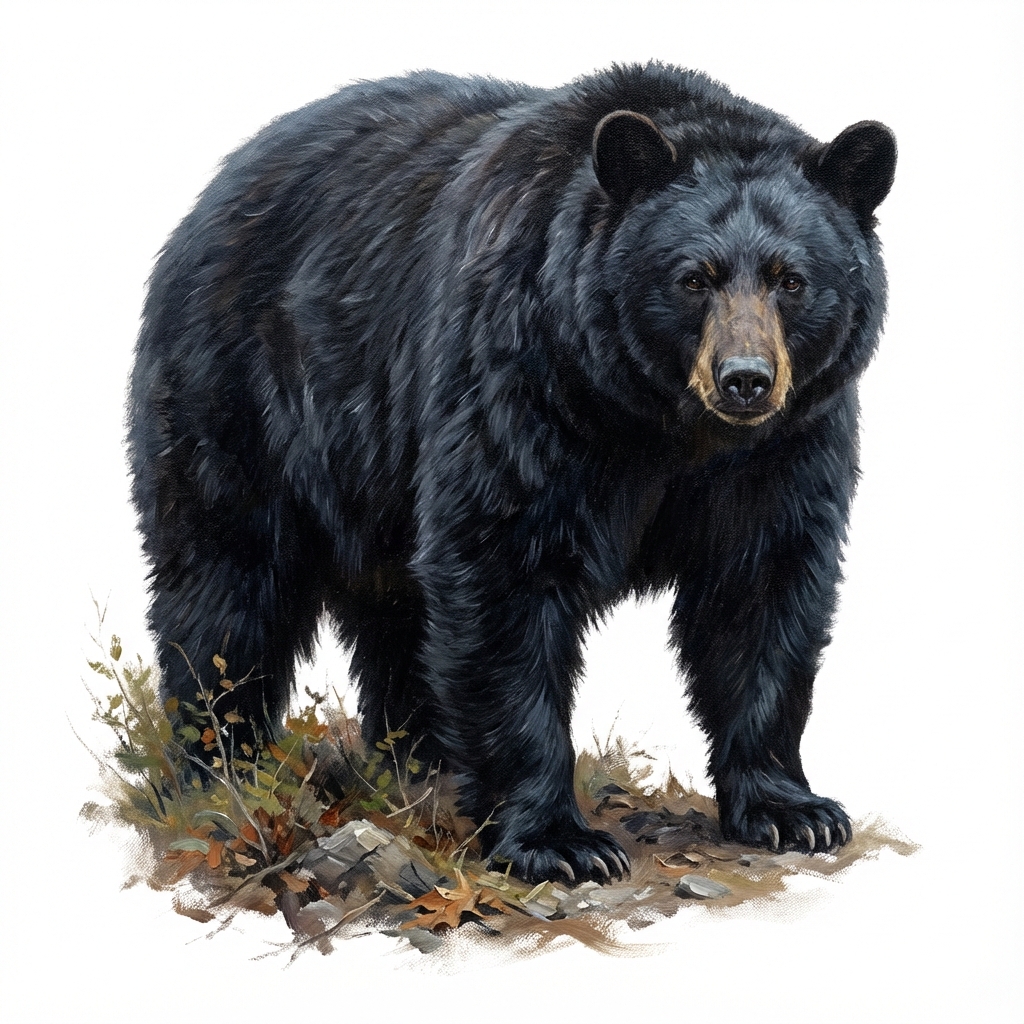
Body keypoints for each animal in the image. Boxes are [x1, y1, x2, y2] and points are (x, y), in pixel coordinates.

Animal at [128, 63, 896, 885]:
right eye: (693, 277)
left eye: (792, 279)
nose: (746, 379)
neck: (664, 424)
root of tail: (218, 189)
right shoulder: (524, 384)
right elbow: (503, 572)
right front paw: (559, 840)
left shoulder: (783, 449)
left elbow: (763, 588)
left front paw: (791, 808)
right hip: (245, 397)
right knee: (228, 587)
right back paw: (220, 772)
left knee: (400, 616)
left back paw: (421, 764)